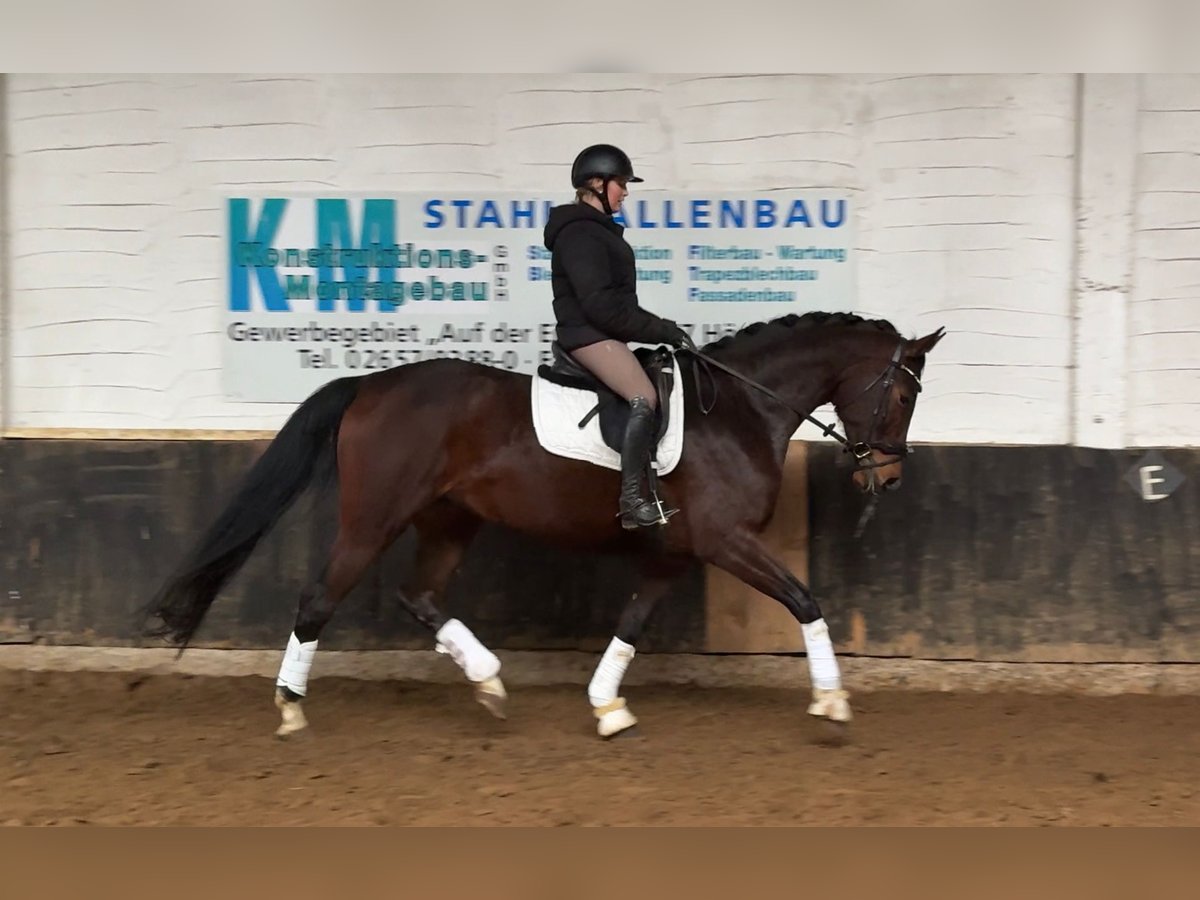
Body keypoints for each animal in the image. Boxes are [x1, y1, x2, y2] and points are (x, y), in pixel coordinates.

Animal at [145, 309, 940, 739]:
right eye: (902, 395)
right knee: (317, 601)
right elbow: (806, 600)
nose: (888, 477)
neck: (742, 409)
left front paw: (607, 706)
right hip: (372, 521)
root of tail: (370, 384)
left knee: (419, 595)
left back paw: (491, 684)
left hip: (449, 521)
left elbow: (632, 621)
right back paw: (290, 711)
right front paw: (832, 700)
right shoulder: (725, 541)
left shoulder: (675, 552)